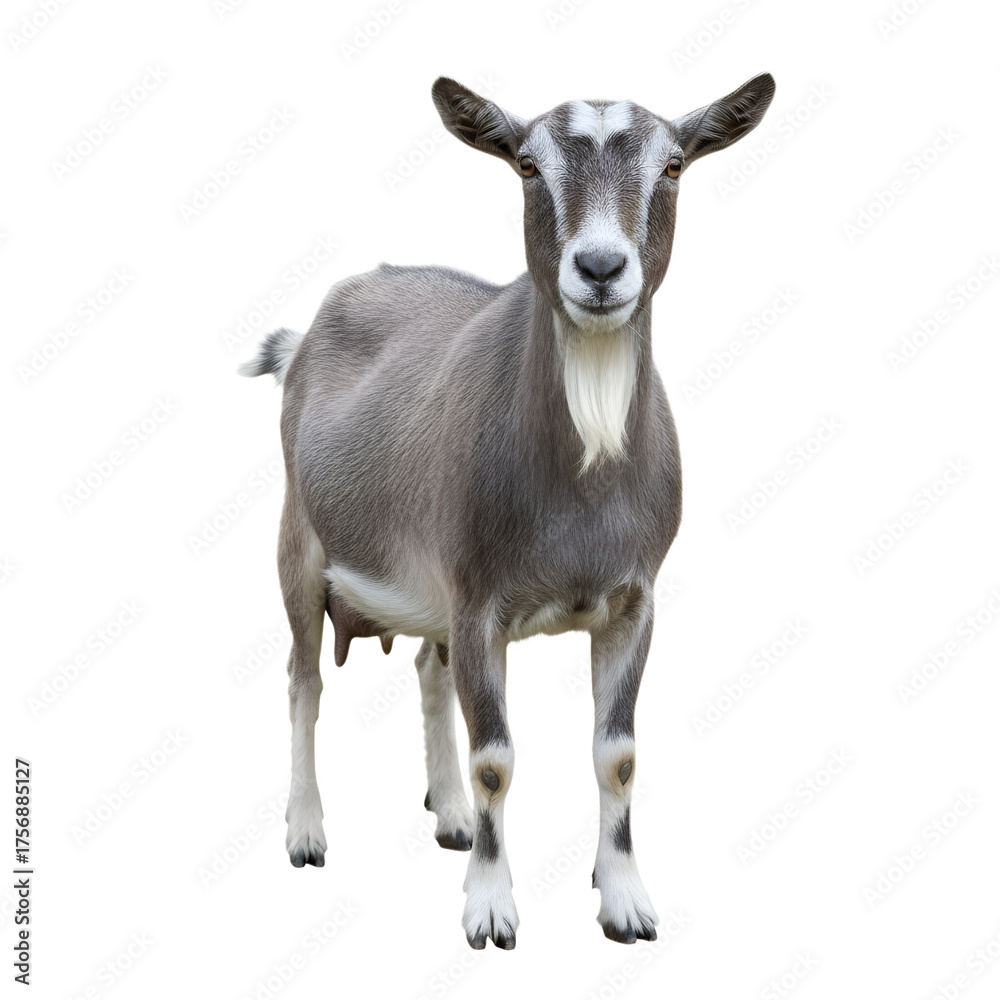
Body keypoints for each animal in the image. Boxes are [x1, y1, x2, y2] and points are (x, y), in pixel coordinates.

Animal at [241, 73, 775, 949]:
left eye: (673, 165)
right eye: (527, 164)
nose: (600, 266)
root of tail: (303, 338)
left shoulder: (631, 600)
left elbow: (617, 754)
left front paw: (624, 899)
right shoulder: (479, 598)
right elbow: (495, 757)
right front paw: (490, 909)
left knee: (426, 669)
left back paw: (451, 817)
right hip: (300, 544)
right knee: (302, 678)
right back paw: (307, 831)